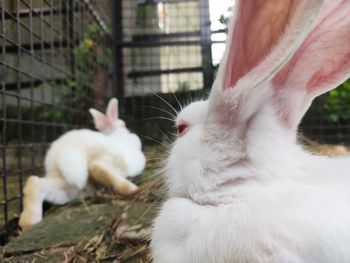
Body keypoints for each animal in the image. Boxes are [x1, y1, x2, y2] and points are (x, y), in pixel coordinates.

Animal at [18, 98, 145, 231]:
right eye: (123, 125)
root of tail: (69, 150)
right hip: (113, 159)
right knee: (98, 167)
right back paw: (131, 189)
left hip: (66, 186)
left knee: (35, 183)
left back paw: (28, 223)